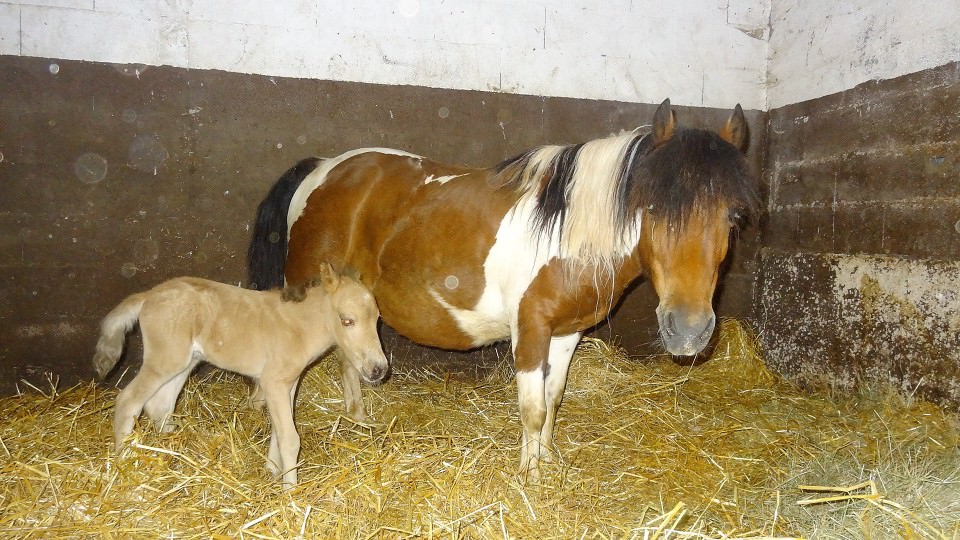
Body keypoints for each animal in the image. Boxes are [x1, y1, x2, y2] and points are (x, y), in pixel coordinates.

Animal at [93, 262, 386, 490]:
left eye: (377, 319)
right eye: (347, 320)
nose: (379, 369)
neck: (298, 327)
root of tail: (149, 295)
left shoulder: (288, 383)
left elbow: (279, 431)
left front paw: (272, 472)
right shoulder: (274, 382)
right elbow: (291, 438)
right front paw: (291, 492)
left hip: (185, 363)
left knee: (160, 404)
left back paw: (175, 454)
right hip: (165, 360)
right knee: (129, 401)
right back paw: (125, 463)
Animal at [248, 99, 756, 478]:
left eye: (733, 216)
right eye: (650, 207)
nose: (688, 331)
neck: (568, 233)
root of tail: (323, 168)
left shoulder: (567, 332)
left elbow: (554, 399)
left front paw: (547, 461)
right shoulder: (529, 330)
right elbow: (532, 408)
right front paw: (529, 476)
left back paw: (357, 418)